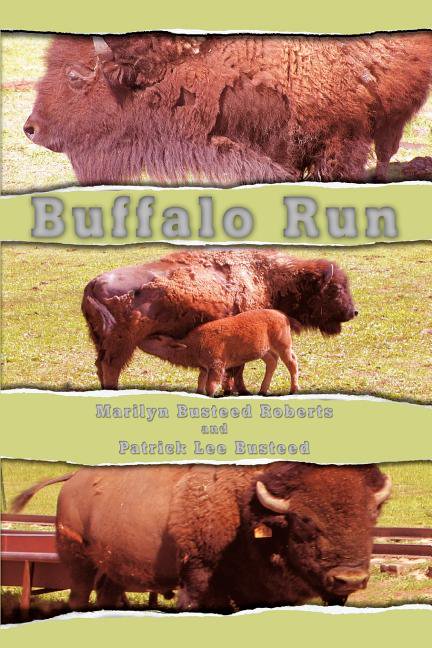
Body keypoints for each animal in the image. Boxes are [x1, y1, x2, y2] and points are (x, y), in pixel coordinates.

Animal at [12, 463, 392, 612]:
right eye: (304, 519)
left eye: (372, 514)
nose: (350, 579)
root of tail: (73, 479)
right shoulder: (197, 574)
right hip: (79, 565)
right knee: (78, 596)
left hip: (112, 571)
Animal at [81, 249, 357, 390]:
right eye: (334, 288)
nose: (353, 312)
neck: (266, 277)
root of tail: (92, 285)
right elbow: (238, 368)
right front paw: (239, 391)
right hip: (121, 345)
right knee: (111, 367)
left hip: (101, 342)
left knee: (100, 366)